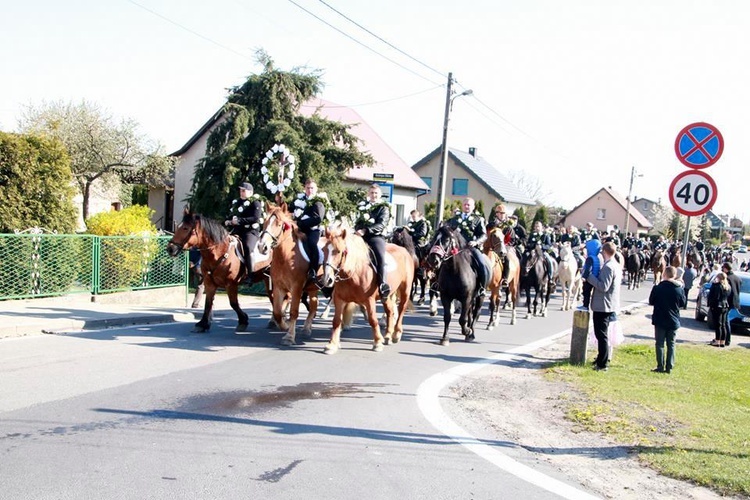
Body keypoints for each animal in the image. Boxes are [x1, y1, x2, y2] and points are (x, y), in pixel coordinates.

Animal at [258, 201, 326, 346]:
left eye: (279, 224)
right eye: (265, 222)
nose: (262, 247)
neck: (285, 256)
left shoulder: (296, 287)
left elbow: (294, 311)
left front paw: (289, 337)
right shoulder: (278, 286)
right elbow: (277, 312)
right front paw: (284, 325)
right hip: (313, 287)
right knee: (314, 305)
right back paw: (306, 329)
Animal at [318, 227, 414, 356]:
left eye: (338, 251)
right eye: (323, 250)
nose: (326, 279)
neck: (355, 271)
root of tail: (404, 251)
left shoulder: (369, 300)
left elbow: (373, 320)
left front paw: (377, 343)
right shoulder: (339, 299)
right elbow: (336, 321)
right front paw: (331, 345)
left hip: (405, 290)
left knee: (401, 308)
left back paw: (396, 334)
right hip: (386, 295)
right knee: (390, 311)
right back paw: (388, 335)